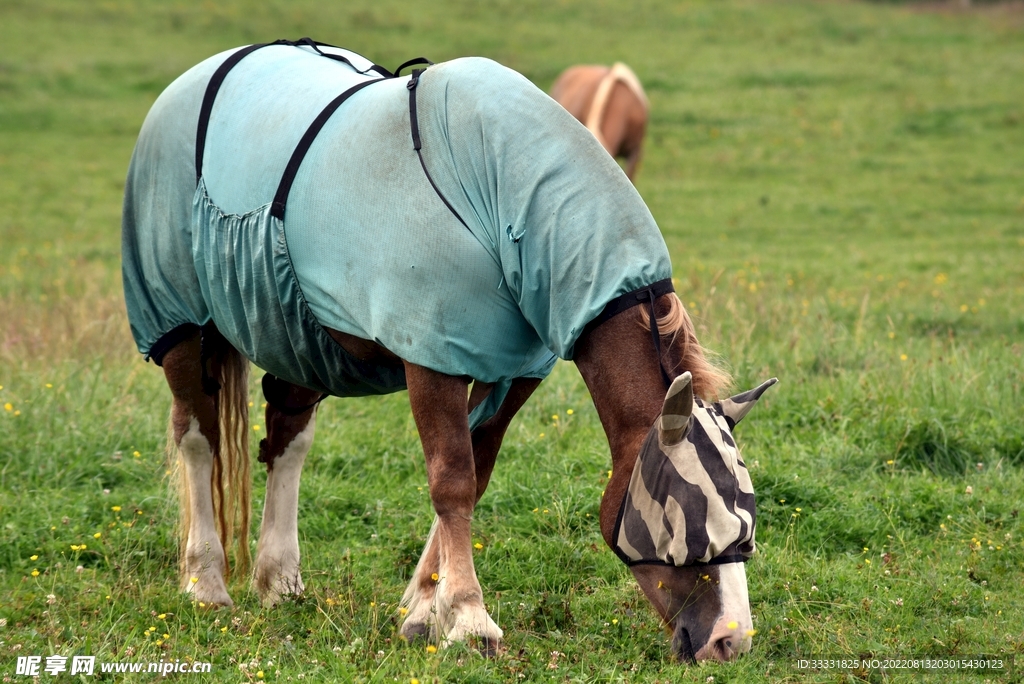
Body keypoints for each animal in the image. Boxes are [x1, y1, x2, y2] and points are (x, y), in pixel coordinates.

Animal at [121, 39, 773, 663]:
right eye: (698, 532)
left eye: (747, 528)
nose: (730, 642)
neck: (500, 191)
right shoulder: (433, 359)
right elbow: (452, 481)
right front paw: (467, 617)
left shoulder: (516, 370)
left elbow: (476, 476)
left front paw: (421, 608)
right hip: (178, 324)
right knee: (197, 436)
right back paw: (206, 583)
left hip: (293, 333)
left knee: (287, 438)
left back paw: (279, 581)